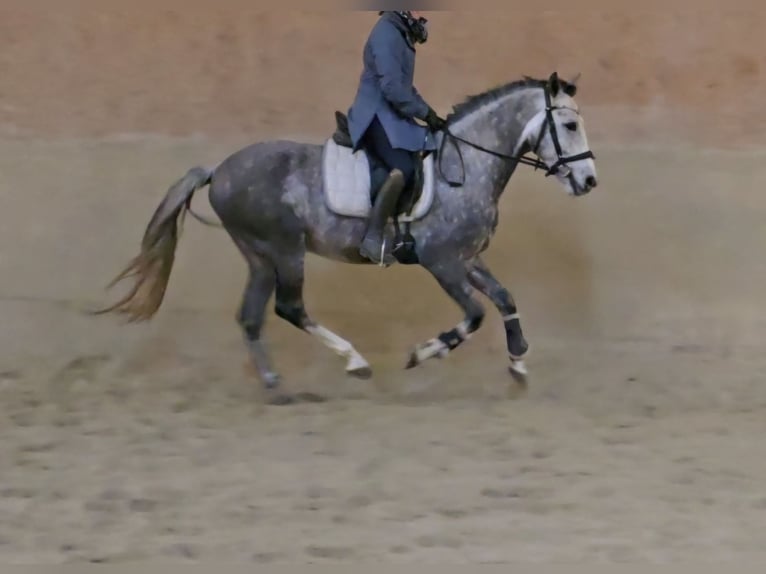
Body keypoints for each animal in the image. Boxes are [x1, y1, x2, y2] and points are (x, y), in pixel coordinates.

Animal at [96, 71, 600, 396]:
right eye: (570, 125)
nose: (589, 181)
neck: (467, 166)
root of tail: (218, 170)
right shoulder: (442, 261)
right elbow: (475, 315)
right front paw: (424, 352)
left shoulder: (468, 257)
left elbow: (505, 298)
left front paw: (518, 362)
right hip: (285, 249)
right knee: (289, 307)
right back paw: (354, 362)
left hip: (259, 255)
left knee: (252, 316)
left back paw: (276, 386)